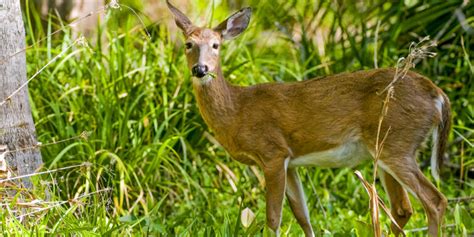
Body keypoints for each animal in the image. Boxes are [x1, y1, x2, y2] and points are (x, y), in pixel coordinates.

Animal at [168, 1, 452, 235]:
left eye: (216, 45)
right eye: (188, 44)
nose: (201, 69)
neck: (237, 110)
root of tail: (437, 94)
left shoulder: (272, 152)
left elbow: (273, 219)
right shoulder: (290, 161)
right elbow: (302, 216)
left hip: (397, 142)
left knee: (435, 200)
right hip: (385, 149)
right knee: (403, 208)